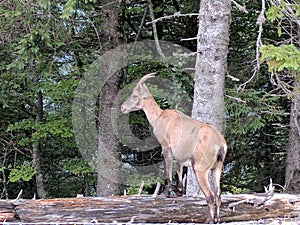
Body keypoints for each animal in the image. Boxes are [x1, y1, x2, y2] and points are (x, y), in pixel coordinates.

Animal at [120, 73, 226, 223]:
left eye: (135, 95)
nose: (122, 107)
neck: (159, 117)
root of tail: (220, 143)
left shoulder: (165, 146)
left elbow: (168, 167)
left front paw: (167, 192)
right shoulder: (180, 155)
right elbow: (179, 169)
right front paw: (179, 191)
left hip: (200, 169)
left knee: (210, 196)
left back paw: (209, 220)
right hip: (216, 169)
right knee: (218, 195)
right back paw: (216, 219)